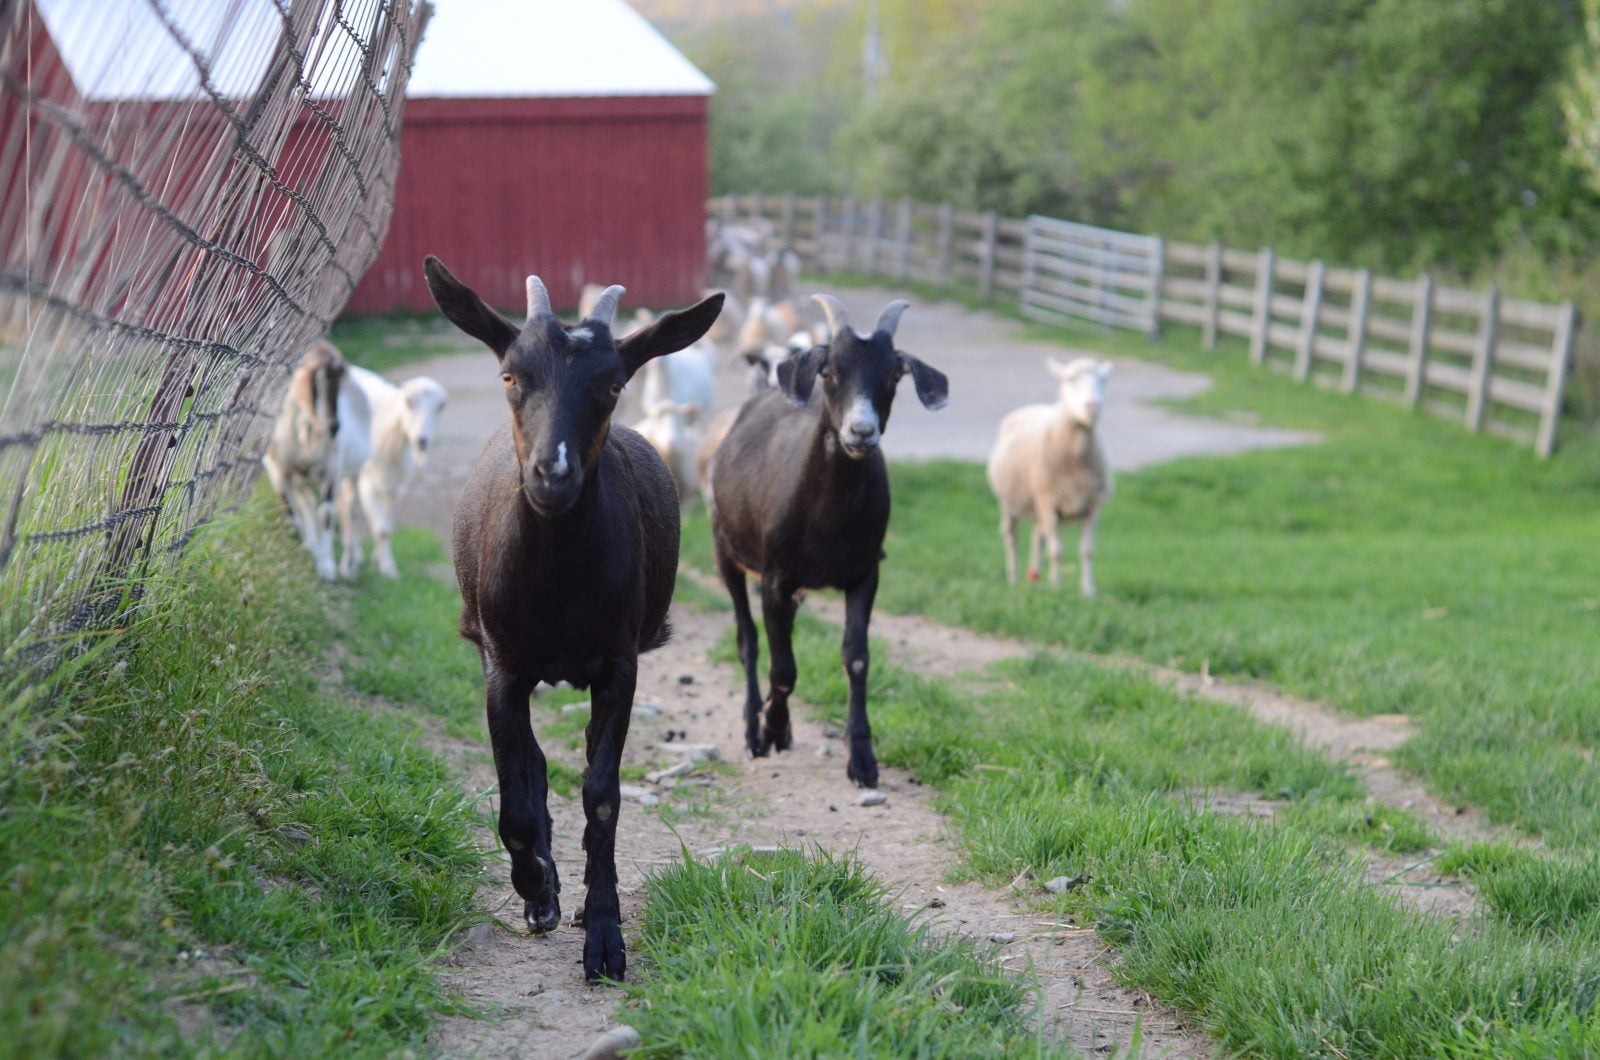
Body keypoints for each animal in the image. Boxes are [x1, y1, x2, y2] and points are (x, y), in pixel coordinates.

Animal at [263, 340, 347, 582]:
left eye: (340, 384)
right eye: (315, 386)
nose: (334, 427)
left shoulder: (331, 471)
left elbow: (325, 515)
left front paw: (327, 567)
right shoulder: (280, 470)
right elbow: (291, 512)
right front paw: (303, 547)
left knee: (309, 504)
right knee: (301, 504)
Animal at [335, 364, 448, 578]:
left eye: (440, 407)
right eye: (408, 402)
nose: (422, 440)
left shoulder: (396, 487)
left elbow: (386, 528)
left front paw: (383, 563)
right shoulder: (368, 483)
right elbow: (379, 527)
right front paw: (385, 567)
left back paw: (358, 556)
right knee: (346, 507)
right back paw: (348, 563)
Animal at [425, 255, 721, 983]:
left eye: (613, 384)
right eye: (510, 375)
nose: (551, 475)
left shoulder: (619, 663)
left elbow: (602, 793)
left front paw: (606, 935)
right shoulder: (502, 665)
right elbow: (515, 801)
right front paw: (537, 890)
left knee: (584, 761)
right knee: (531, 762)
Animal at [706, 294, 947, 788]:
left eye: (894, 376)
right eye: (830, 371)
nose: (861, 431)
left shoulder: (865, 573)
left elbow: (855, 658)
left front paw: (862, 758)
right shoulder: (775, 577)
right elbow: (783, 668)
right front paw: (771, 728)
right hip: (726, 551)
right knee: (748, 639)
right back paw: (753, 731)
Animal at [986, 356, 1113, 595]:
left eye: (1104, 380)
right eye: (1070, 379)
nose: (1093, 407)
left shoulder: (1093, 506)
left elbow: (1087, 551)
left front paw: (1088, 591)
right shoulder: (1048, 502)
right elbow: (1057, 552)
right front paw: (1056, 588)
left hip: (1039, 506)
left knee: (1038, 539)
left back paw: (1034, 578)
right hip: (1012, 503)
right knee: (1012, 537)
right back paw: (1014, 578)